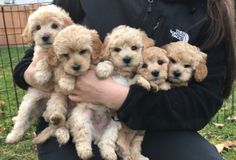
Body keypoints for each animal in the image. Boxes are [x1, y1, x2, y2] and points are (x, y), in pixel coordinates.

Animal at [5, 4, 74, 144]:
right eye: (37, 28)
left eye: (54, 25)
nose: (45, 37)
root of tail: (42, 109)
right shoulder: (38, 54)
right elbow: (43, 60)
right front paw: (42, 75)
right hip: (29, 103)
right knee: (22, 120)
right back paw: (13, 135)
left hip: (56, 98)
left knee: (56, 119)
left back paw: (57, 123)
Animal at [96, 25, 155, 160]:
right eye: (117, 49)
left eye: (134, 48)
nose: (127, 59)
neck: (123, 72)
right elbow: (109, 63)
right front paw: (103, 69)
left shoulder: (128, 81)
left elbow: (136, 77)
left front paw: (144, 82)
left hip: (125, 132)